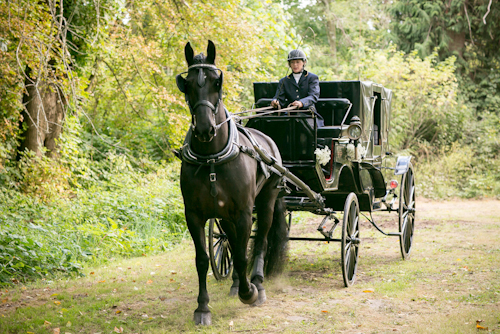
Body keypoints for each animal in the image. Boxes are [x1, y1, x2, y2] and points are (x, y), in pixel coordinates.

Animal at [176, 40, 288, 324]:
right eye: (187, 84)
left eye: (217, 82)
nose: (205, 129)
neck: (211, 159)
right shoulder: (194, 214)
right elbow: (203, 259)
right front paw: (202, 307)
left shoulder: (245, 212)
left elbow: (241, 253)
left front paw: (249, 293)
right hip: (224, 214)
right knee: (232, 240)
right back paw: (237, 283)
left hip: (267, 201)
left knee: (261, 240)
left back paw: (256, 283)